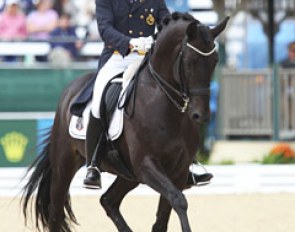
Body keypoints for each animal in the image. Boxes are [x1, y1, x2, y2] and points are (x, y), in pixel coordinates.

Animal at [22, 13, 230, 232]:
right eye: (190, 62)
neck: (165, 106)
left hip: (129, 174)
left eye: (215, 61)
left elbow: (164, 216)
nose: (201, 115)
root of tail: (71, 89)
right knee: (56, 211)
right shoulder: (146, 166)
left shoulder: (178, 170)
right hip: (65, 163)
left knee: (108, 201)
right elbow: (178, 199)